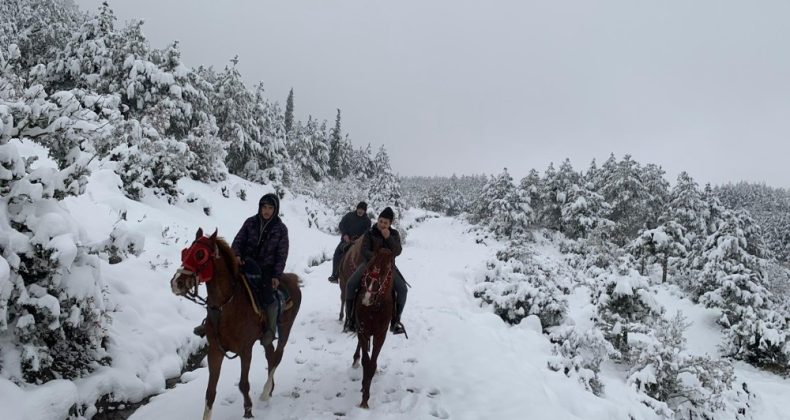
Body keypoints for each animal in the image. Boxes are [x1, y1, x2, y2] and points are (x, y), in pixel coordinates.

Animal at [170, 230, 304, 420]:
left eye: (200, 254)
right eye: (186, 252)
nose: (176, 282)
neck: (227, 306)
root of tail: (292, 279)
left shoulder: (245, 350)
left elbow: (243, 384)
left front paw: (248, 410)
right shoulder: (215, 351)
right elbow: (210, 391)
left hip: (285, 329)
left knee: (277, 356)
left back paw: (265, 392)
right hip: (265, 338)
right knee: (270, 356)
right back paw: (270, 389)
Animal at [352, 248, 394, 408]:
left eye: (385, 271)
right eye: (369, 266)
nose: (366, 298)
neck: (374, 308)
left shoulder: (380, 335)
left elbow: (372, 363)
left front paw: (365, 397)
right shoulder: (363, 330)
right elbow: (366, 361)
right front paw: (364, 395)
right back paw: (355, 360)